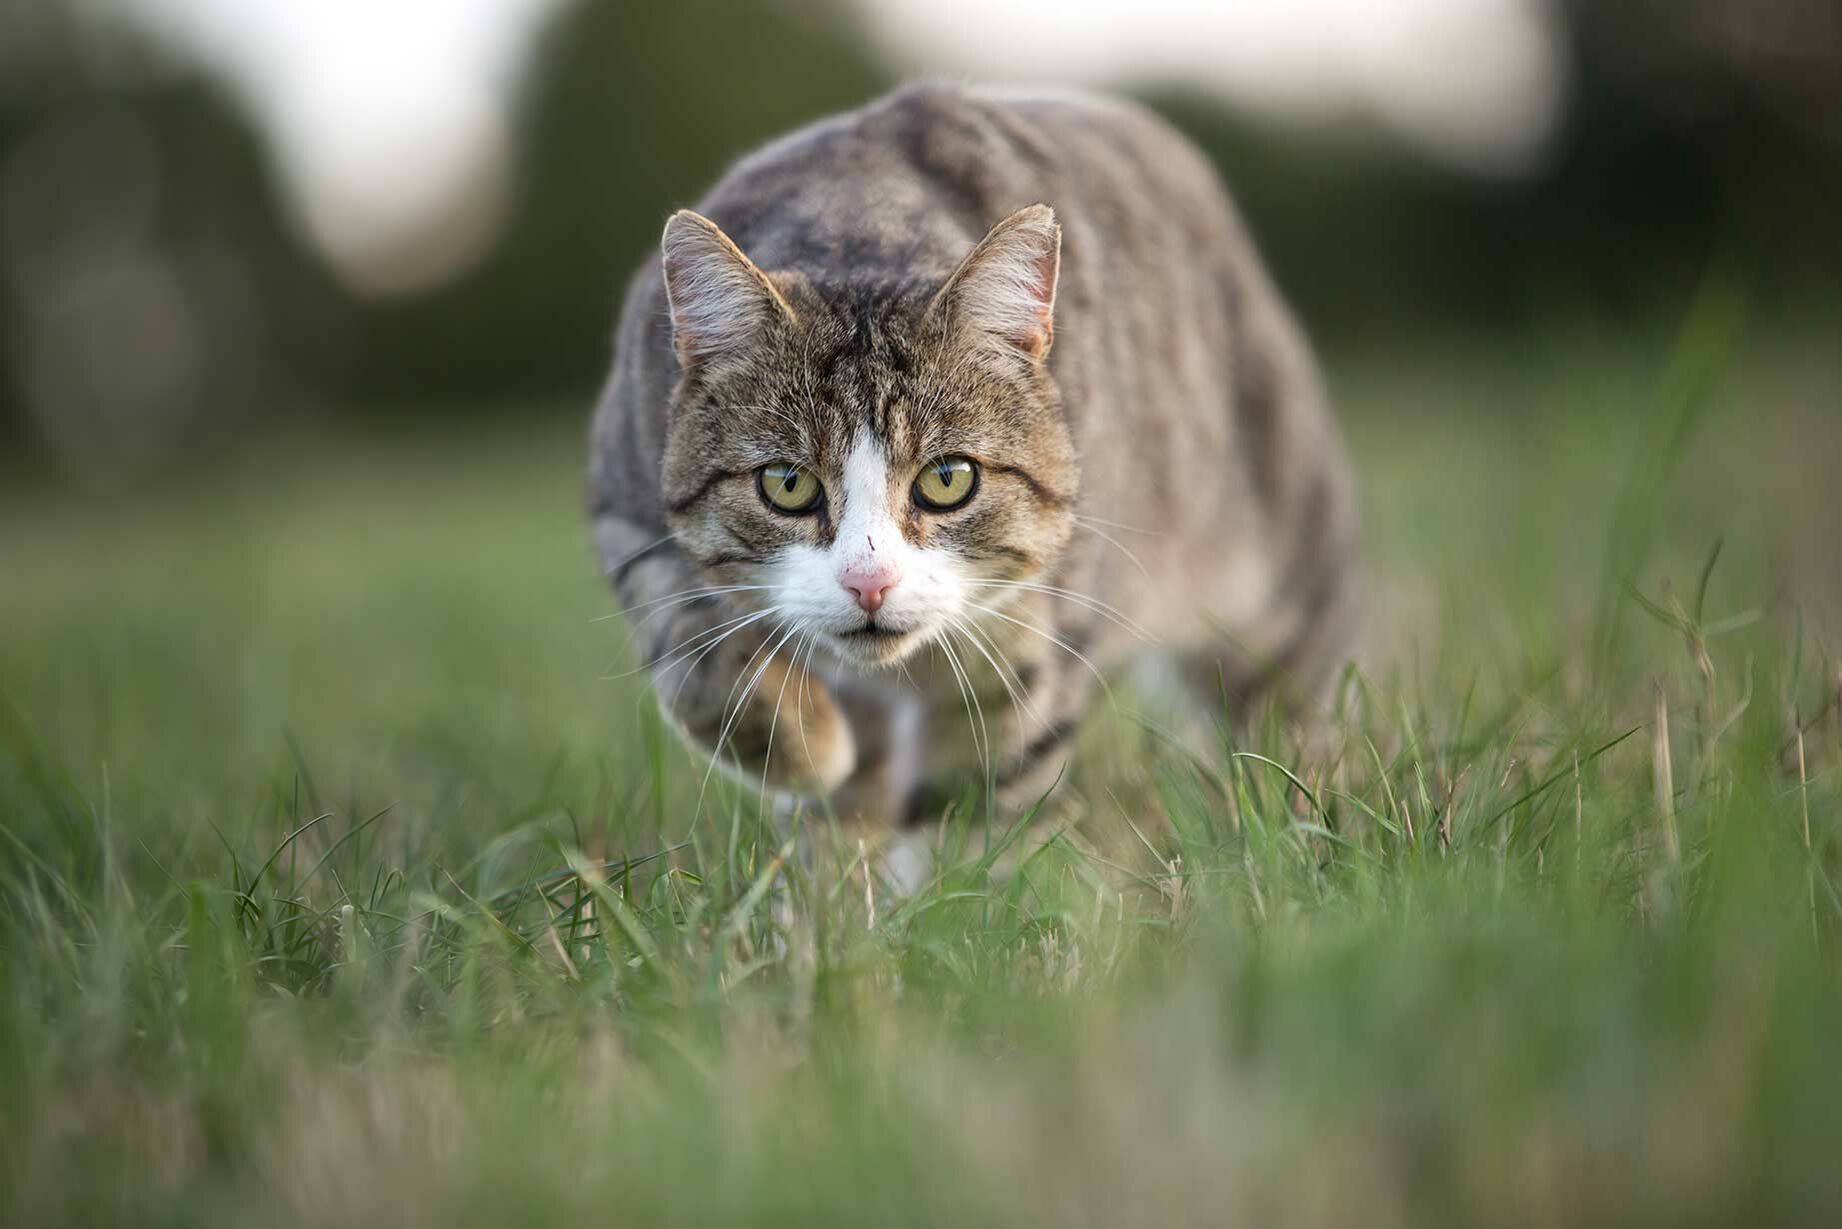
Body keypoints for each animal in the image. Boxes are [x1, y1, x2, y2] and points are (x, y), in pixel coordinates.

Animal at [596, 81, 1363, 832]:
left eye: (947, 480)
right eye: (787, 484)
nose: (869, 584)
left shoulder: (1037, 632)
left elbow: (984, 798)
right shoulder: (628, 501)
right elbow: (695, 654)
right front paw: (807, 748)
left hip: (1285, 580)